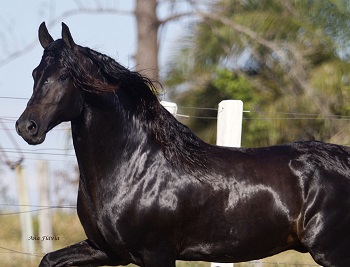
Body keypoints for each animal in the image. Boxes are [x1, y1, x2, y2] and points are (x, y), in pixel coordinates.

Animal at [17, 22, 350, 266]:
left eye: (64, 76)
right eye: (34, 74)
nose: (26, 127)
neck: (135, 168)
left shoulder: (157, 254)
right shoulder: (107, 250)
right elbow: (49, 259)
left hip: (332, 252)